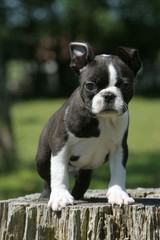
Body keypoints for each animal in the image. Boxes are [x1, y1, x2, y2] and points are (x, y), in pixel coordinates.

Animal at [36, 42, 141, 211]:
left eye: (125, 85)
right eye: (90, 86)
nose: (109, 95)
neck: (101, 119)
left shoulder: (120, 148)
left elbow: (119, 172)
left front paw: (118, 194)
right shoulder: (61, 146)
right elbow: (59, 173)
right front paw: (60, 197)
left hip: (85, 171)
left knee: (82, 182)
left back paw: (77, 195)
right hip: (42, 159)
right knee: (47, 178)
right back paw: (46, 196)